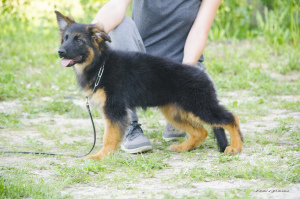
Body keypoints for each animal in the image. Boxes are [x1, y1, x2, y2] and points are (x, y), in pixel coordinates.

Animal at [55, 10, 243, 161]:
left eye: (79, 40)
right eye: (65, 39)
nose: (60, 52)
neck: (101, 63)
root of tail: (202, 75)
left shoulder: (114, 109)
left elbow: (109, 137)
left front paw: (101, 155)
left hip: (199, 106)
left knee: (231, 118)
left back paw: (236, 147)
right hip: (175, 111)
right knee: (201, 132)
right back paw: (183, 147)